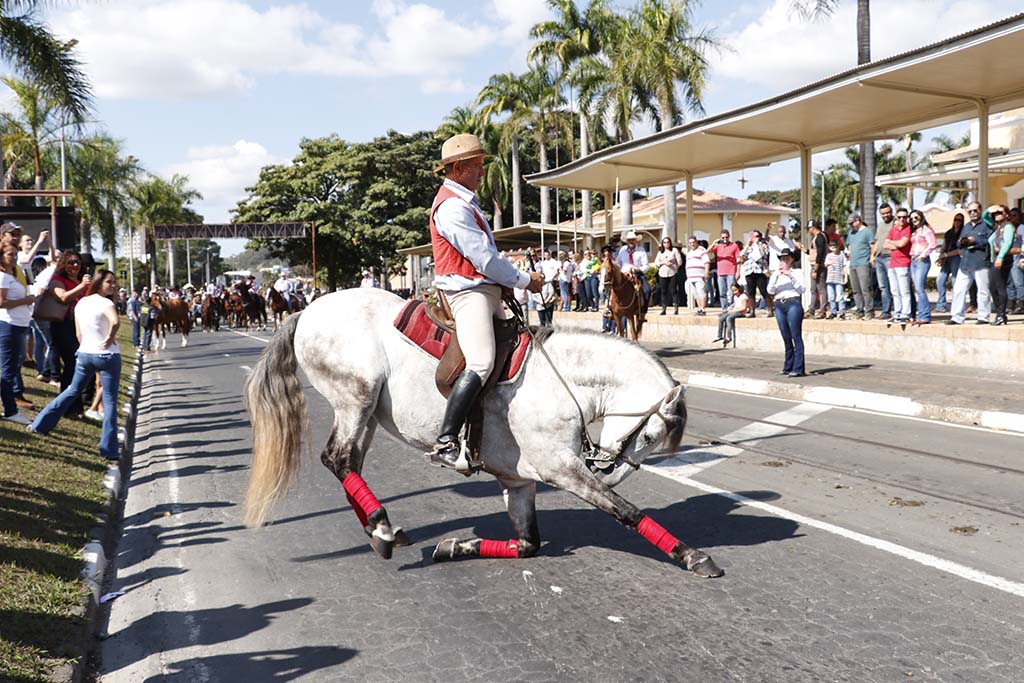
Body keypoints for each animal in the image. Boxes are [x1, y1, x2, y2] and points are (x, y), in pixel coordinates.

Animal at [243, 288, 724, 577]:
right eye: (649, 437)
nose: (608, 469)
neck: (561, 380)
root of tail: (308, 309)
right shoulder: (560, 468)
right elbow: (624, 510)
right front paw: (691, 555)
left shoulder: (519, 478)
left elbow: (528, 543)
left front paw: (455, 547)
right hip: (355, 396)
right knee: (338, 459)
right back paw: (380, 525)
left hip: (368, 412)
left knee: (350, 464)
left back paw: (379, 532)